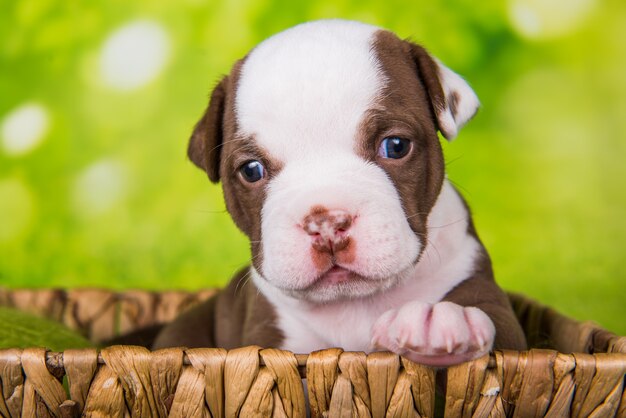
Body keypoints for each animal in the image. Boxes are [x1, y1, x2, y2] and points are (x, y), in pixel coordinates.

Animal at [154, 19, 524, 366]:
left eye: (396, 145)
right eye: (251, 170)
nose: (326, 223)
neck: (354, 303)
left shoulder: (481, 282)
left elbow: (493, 318)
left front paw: (442, 318)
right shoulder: (268, 333)